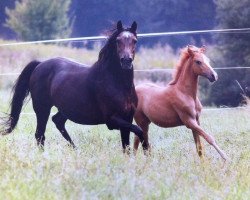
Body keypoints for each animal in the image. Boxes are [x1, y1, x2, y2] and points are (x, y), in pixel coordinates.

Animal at [2, 20, 146, 152]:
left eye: (135, 41)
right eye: (118, 40)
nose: (126, 61)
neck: (118, 85)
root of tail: (40, 64)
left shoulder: (127, 118)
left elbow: (127, 145)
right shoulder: (112, 120)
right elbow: (139, 131)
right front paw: (147, 152)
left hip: (64, 109)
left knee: (57, 121)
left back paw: (75, 149)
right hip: (42, 108)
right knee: (40, 135)